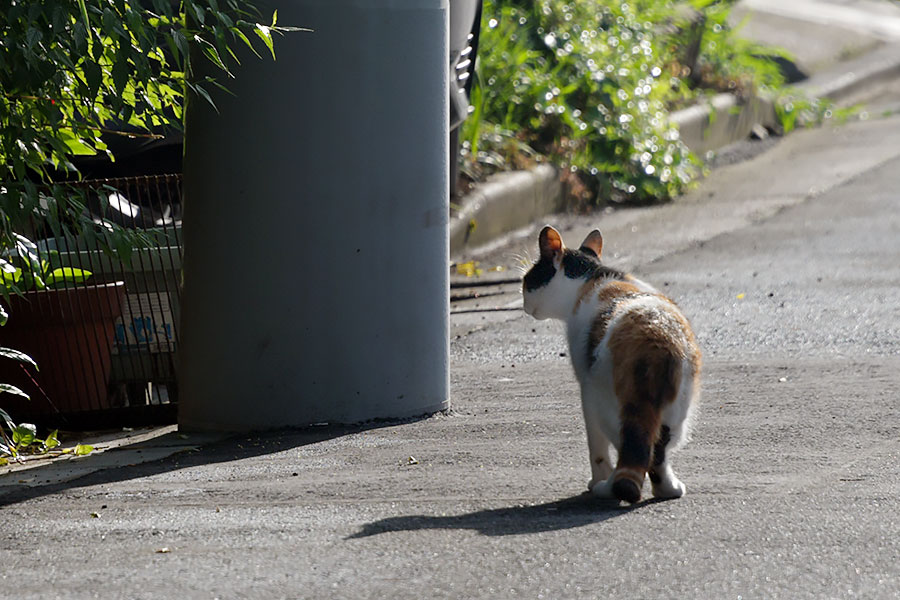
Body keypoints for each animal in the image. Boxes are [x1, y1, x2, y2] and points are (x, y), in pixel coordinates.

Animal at [520, 225, 704, 502]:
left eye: (527, 280)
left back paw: (606, 489)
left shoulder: (585, 390)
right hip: (678, 411)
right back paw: (668, 489)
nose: (524, 303)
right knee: (656, 452)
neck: (592, 278)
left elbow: (595, 449)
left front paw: (596, 479)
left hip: (605, 402)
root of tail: (655, 338)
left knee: (629, 451)